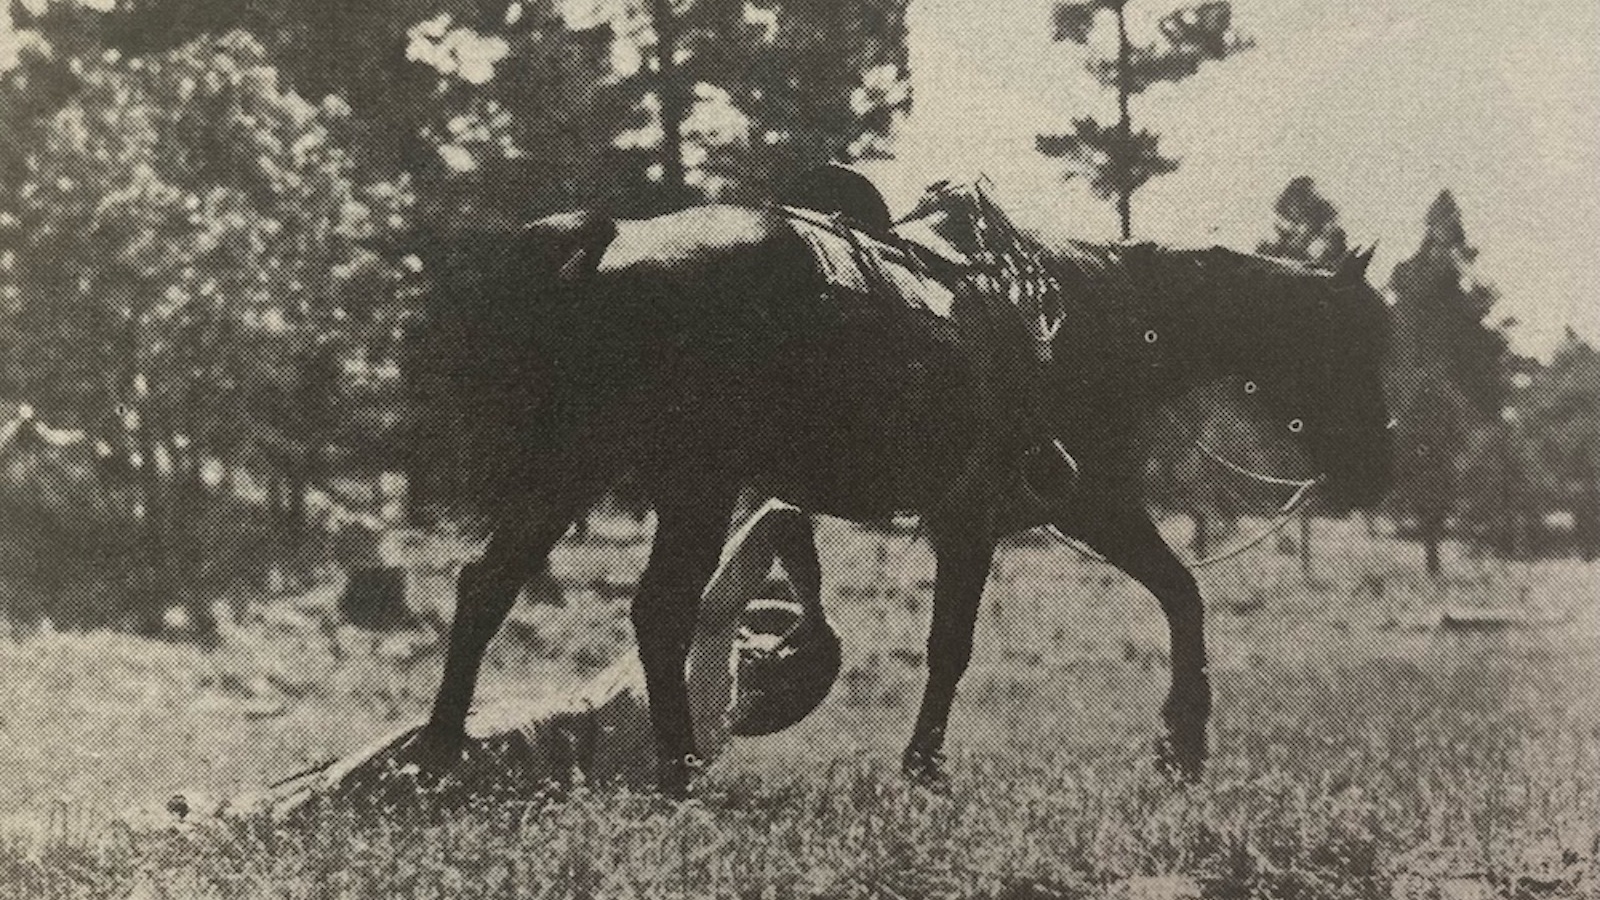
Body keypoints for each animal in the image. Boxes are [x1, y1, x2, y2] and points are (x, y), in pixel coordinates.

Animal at [401, 205, 1393, 795]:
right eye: (1358, 338)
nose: (1380, 465)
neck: (1094, 322)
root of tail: (607, 244)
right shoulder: (1038, 511)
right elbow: (968, 642)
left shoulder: (1030, 516)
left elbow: (1166, 596)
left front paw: (1177, 746)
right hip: (691, 483)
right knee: (656, 608)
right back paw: (678, 773)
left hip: (574, 472)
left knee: (488, 586)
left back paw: (442, 757)